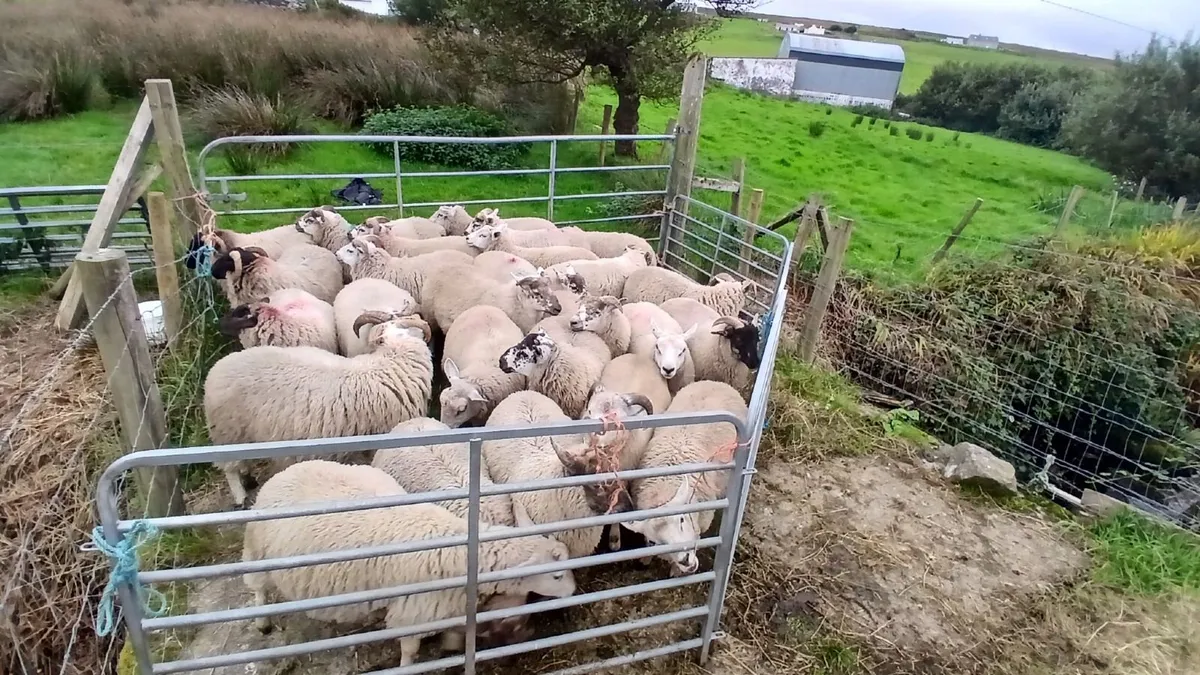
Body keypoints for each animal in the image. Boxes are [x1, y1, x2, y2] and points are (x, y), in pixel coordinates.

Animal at [242, 460, 575, 667]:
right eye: (557, 575)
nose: (573, 592)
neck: (463, 549)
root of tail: (284, 473)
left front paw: (453, 645)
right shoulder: (415, 612)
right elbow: (410, 650)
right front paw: (407, 664)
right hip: (258, 551)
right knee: (256, 585)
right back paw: (262, 622)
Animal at [624, 380, 748, 576]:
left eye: (682, 520)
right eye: (655, 541)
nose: (684, 560)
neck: (665, 485)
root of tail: (714, 382)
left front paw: (676, 570)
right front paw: (646, 559)